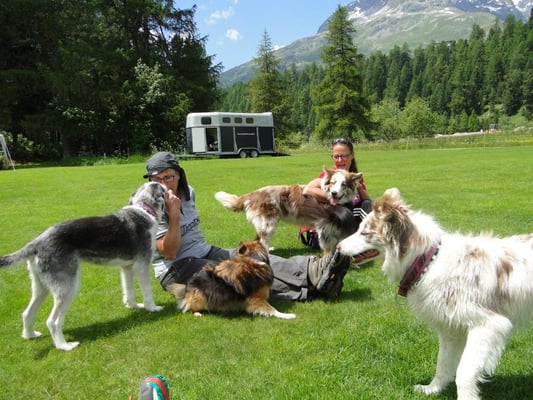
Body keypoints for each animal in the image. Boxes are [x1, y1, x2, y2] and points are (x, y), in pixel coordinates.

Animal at [0, 182, 167, 351]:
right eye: (161, 187)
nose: (164, 184)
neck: (144, 211)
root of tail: (36, 242)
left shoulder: (126, 268)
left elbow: (129, 290)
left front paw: (133, 306)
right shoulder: (143, 265)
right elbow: (147, 291)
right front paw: (152, 308)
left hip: (40, 287)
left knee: (27, 313)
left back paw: (30, 335)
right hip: (67, 288)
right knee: (52, 321)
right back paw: (65, 346)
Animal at [215, 168, 362, 253]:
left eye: (344, 184)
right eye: (333, 182)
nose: (334, 193)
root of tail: (252, 194)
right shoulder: (323, 225)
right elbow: (328, 247)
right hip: (269, 224)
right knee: (262, 241)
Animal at [337, 187, 533, 400]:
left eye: (364, 232)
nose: (337, 247)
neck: (427, 262)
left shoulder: (488, 324)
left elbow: (463, 373)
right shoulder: (451, 329)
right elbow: (443, 364)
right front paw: (433, 389)